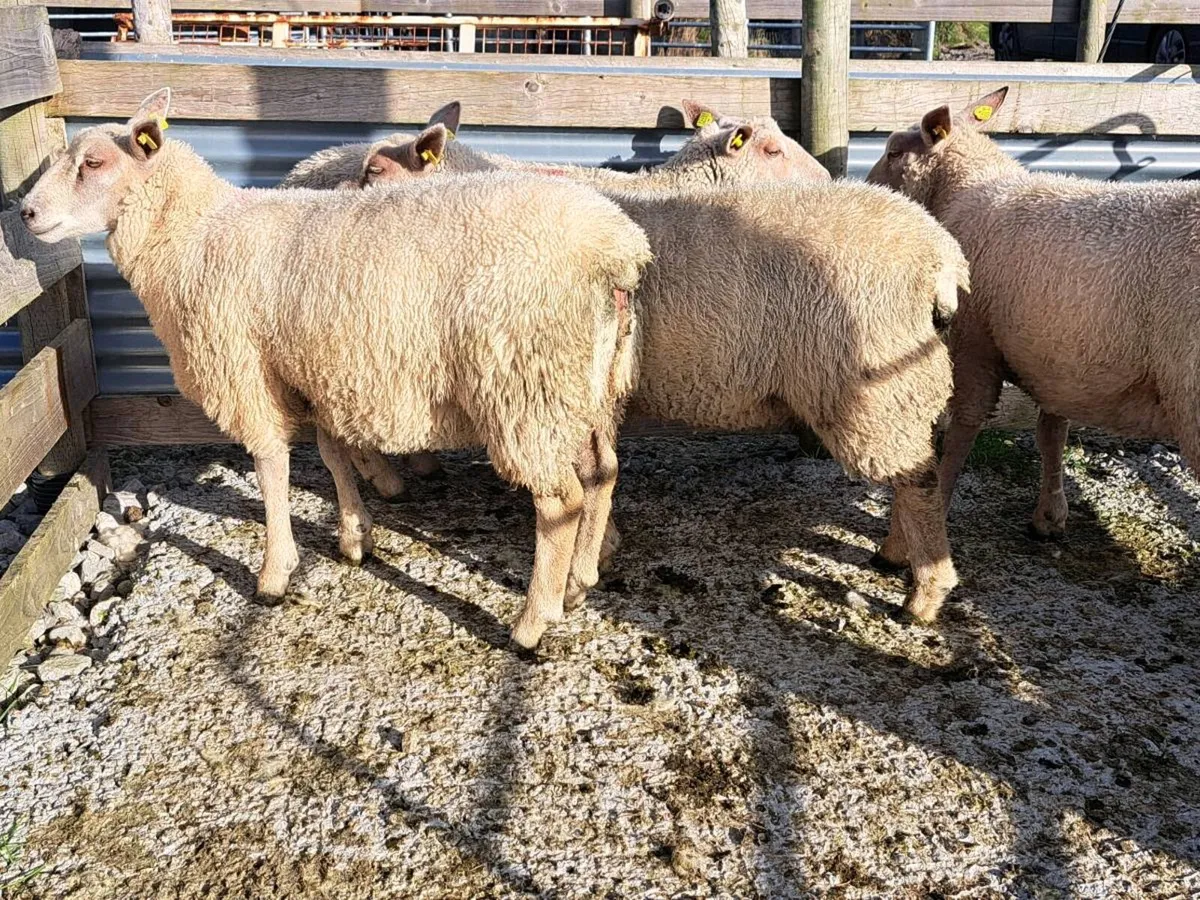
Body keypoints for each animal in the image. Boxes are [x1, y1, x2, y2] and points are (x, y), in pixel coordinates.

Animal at [22, 89, 652, 648]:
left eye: (93, 163)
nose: (26, 212)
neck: (192, 238)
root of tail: (616, 250)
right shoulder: (316, 368)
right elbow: (330, 453)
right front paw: (355, 535)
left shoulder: (245, 367)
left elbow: (271, 464)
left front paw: (275, 572)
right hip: (584, 385)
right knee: (602, 472)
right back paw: (581, 580)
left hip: (524, 385)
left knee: (560, 502)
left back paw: (533, 621)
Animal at [363, 131, 969, 622]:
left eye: (374, 172)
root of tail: (942, 256)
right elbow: (597, 473)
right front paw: (602, 548)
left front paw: (585, 564)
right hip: (900, 389)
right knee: (922, 464)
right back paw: (900, 552)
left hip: (876, 391)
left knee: (919, 478)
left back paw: (925, 592)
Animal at [866, 86, 1200, 541]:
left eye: (895, 151)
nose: (868, 191)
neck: (968, 188)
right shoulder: (1059, 358)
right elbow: (1052, 433)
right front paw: (1050, 514)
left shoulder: (975, 341)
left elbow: (964, 427)